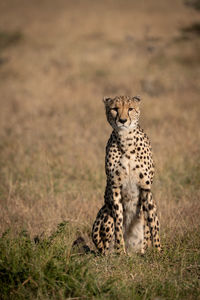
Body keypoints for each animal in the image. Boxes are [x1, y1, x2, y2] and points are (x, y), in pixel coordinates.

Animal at [92, 95, 161, 254]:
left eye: (130, 109)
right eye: (114, 109)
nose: (123, 120)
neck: (126, 140)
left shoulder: (145, 187)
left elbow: (152, 224)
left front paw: (159, 252)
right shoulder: (115, 186)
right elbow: (118, 221)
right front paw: (119, 250)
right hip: (105, 210)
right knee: (104, 247)